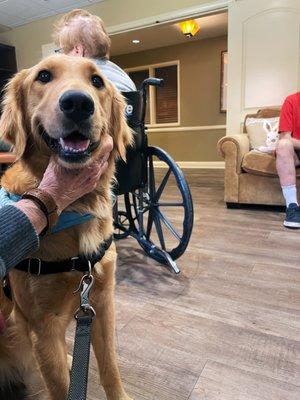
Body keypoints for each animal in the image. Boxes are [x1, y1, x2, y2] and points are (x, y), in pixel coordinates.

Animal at [0, 55, 134, 400]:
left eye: (97, 81)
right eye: (43, 76)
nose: (77, 103)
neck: (74, 208)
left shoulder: (101, 302)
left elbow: (110, 368)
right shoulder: (43, 327)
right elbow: (61, 386)